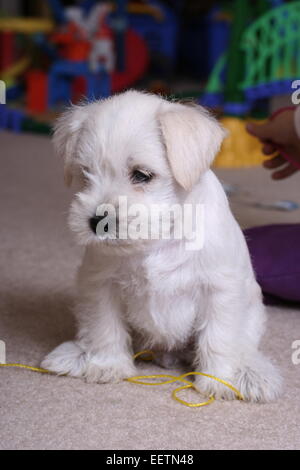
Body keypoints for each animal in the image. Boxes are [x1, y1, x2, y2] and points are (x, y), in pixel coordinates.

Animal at [42, 90, 282, 402]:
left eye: (141, 175)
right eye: (85, 174)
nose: (96, 221)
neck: (158, 240)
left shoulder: (219, 290)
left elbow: (218, 337)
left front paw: (218, 381)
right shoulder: (101, 285)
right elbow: (106, 327)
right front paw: (107, 366)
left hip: (252, 314)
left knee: (243, 345)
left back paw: (253, 373)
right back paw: (77, 354)